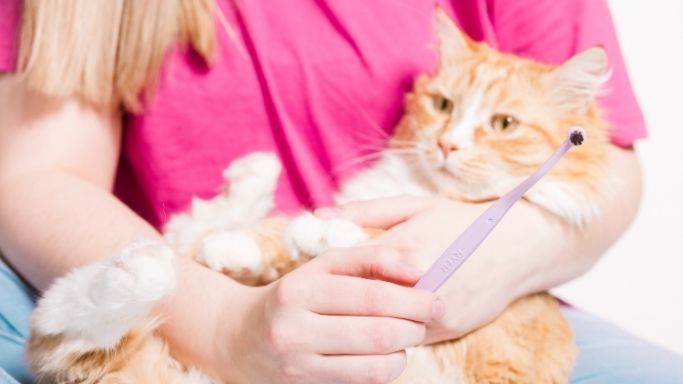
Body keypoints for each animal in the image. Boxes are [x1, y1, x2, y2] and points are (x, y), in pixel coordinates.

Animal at [26, 9, 612, 384]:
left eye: (504, 124)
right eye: (444, 105)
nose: (447, 144)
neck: (422, 185)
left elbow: (347, 230)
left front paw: (317, 231)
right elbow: (228, 234)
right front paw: (252, 239)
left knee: (69, 330)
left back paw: (144, 269)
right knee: (68, 323)